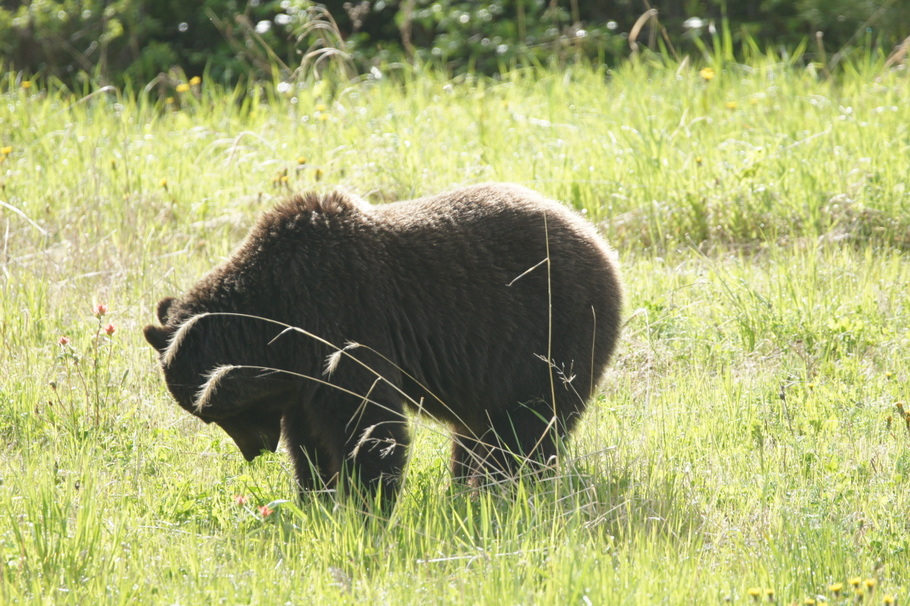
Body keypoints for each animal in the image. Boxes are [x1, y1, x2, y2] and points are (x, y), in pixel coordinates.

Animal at [143, 183, 622, 507]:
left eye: (216, 412)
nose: (254, 450)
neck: (278, 322)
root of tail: (598, 239)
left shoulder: (341, 323)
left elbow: (369, 425)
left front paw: (367, 505)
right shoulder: (304, 373)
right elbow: (310, 439)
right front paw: (315, 497)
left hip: (548, 334)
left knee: (528, 425)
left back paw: (501, 488)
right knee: (478, 431)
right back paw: (465, 486)